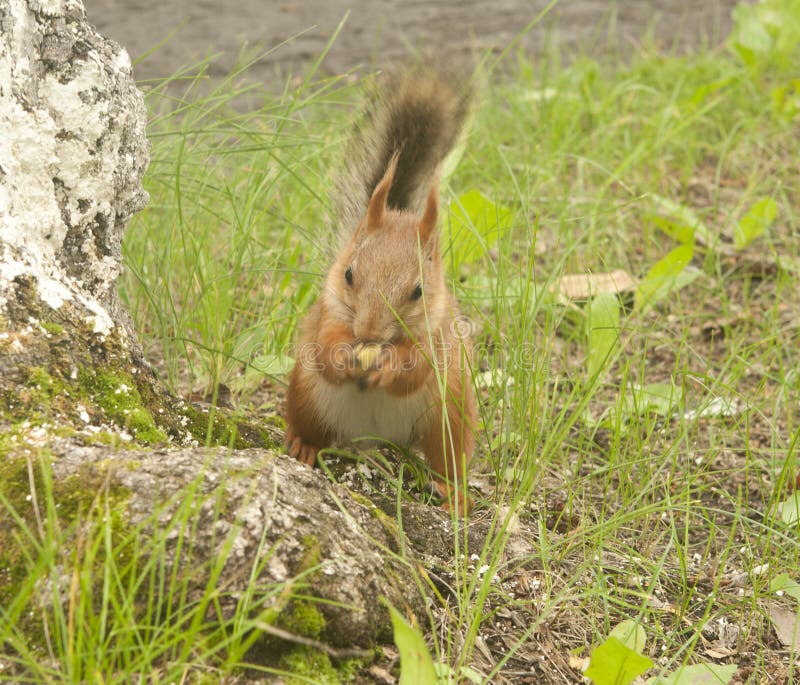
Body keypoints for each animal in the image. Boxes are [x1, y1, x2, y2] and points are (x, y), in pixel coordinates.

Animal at [286, 67, 478, 512]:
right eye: (349, 274)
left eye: (419, 291)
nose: (369, 333)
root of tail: (376, 438)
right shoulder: (328, 313)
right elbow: (324, 348)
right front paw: (342, 356)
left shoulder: (439, 334)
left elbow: (417, 369)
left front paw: (391, 366)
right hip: (306, 396)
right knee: (310, 426)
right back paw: (303, 444)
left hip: (450, 416)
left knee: (447, 459)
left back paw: (454, 494)